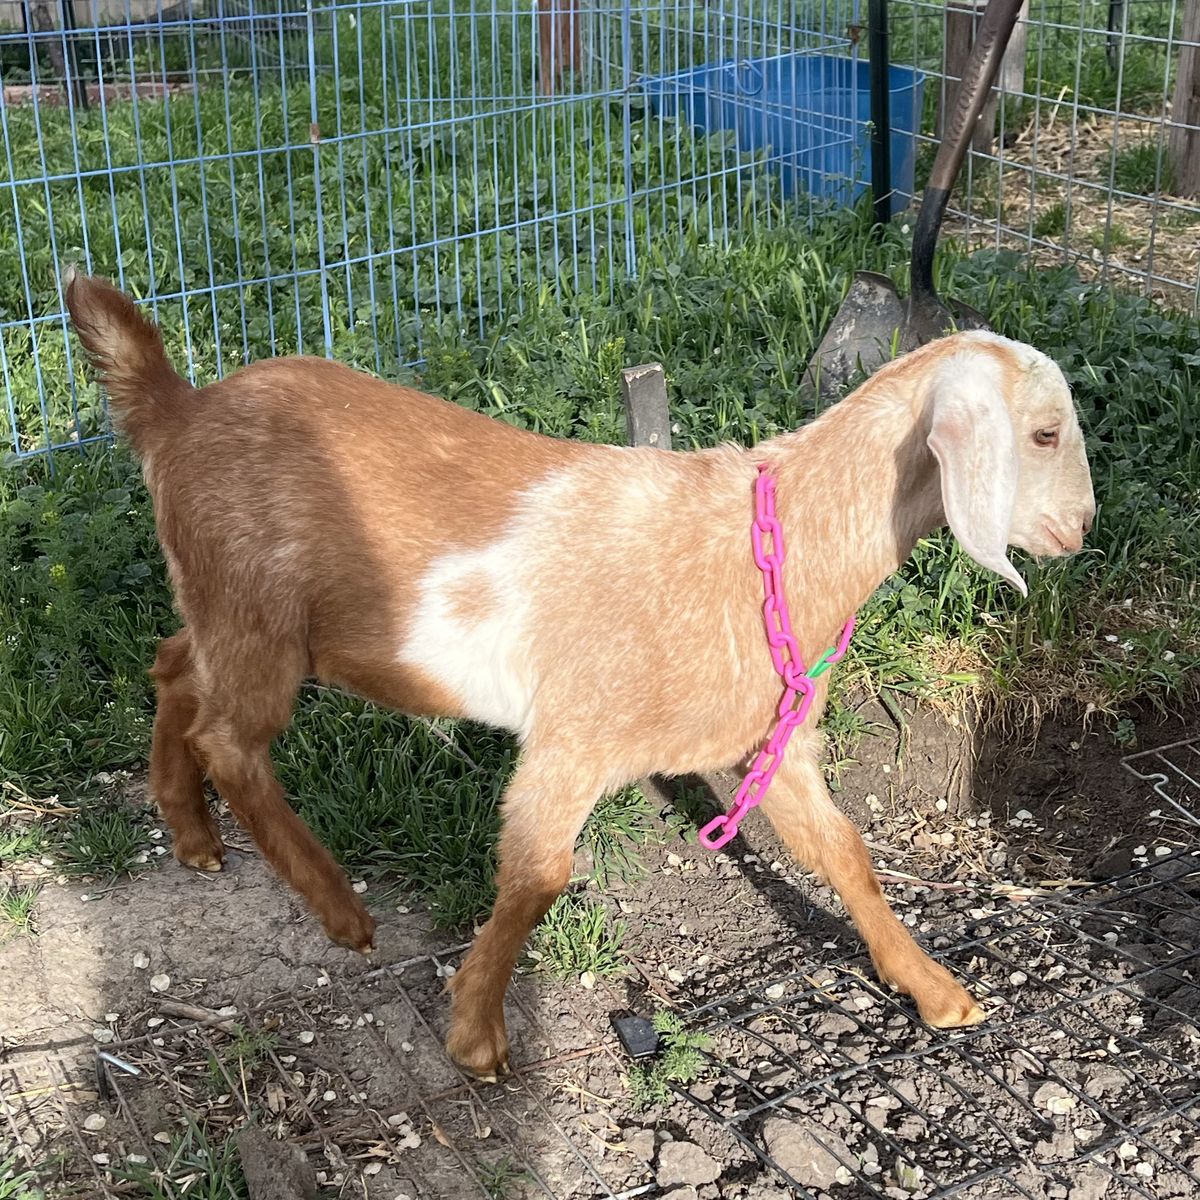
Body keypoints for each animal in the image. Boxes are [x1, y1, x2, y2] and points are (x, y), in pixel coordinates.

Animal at [64, 269, 1095, 1080]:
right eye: (1043, 435)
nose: (1081, 529)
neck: (767, 547)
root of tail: (178, 410)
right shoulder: (574, 737)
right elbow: (537, 877)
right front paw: (476, 1036)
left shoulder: (775, 741)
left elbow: (841, 852)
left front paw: (935, 990)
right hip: (259, 613)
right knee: (229, 739)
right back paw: (339, 908)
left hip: (232, 607)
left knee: (173, 669)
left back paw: (191, 831)